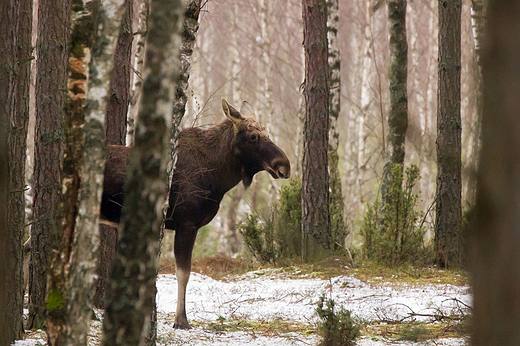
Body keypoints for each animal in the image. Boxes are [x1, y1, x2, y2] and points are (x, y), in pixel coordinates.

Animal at [99, 98, 290, 328]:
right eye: (253, 136)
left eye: (266, 132)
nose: (285, 165)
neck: (218, 176)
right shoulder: (186, 223)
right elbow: (183, 273)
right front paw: (181, 320)